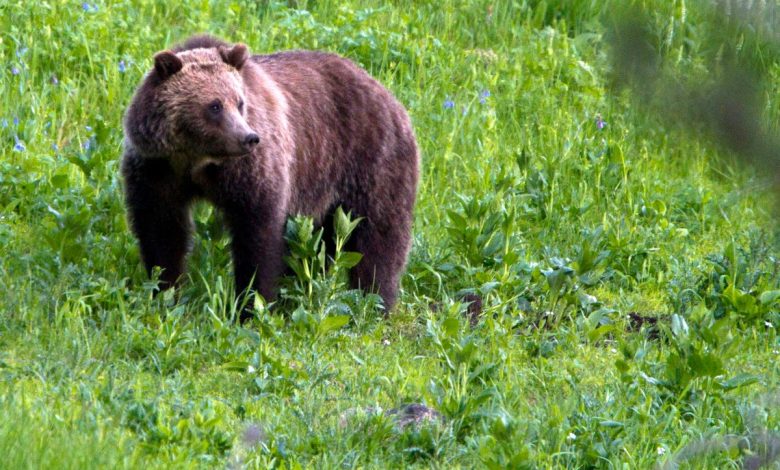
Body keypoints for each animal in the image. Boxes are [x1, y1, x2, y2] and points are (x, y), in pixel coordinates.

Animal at [120, 35, 420, 318]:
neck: (197, 160)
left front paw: (251, 305)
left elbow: (257, 234)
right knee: (323, 242)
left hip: (370, 160)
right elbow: (162, 231)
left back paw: (375, 302)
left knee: (379, 235)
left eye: (239, 102)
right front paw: (165, 292)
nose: (248, 138)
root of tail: (387, 94)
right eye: (214, 106)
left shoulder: (250, 172)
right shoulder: (158, 170)